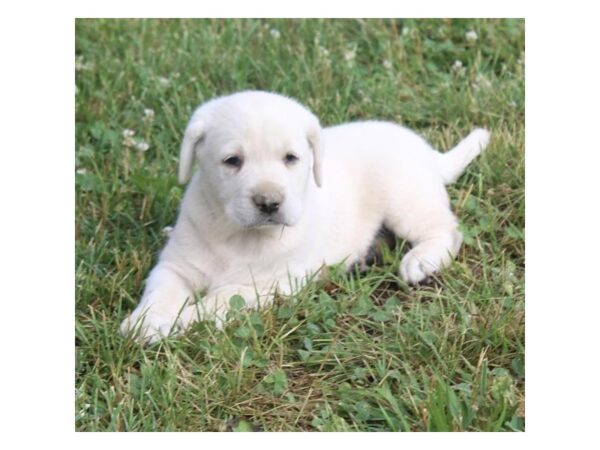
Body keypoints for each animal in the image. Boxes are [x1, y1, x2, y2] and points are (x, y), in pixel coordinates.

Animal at [119, 89, 490, 342]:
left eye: (291, 158)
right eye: (232, 161)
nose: (269, 202)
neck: (239, 235)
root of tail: (428, 152)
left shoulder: (272, 284)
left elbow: (222, 298)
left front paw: (181, 320)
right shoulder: (176, 265)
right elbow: (160, 291)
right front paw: (147, 321)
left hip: (406, 200)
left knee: (448, 230)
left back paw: (421, 261)